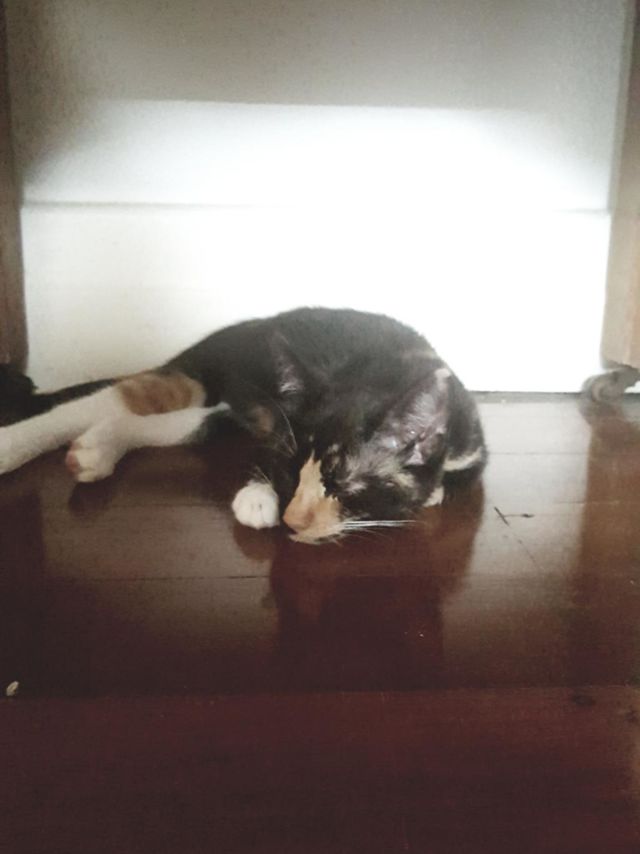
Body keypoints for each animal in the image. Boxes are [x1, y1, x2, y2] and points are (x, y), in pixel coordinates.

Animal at [0, 307, 486, 543]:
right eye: (289, 467)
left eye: (342, 484)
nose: (293, 516)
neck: (380, 369)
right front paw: (258, 494)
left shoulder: (469, 447)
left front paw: (433, 491)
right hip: (207, 376)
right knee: (112, 400)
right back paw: (13, 445)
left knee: (144, 418)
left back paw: (95, 448)